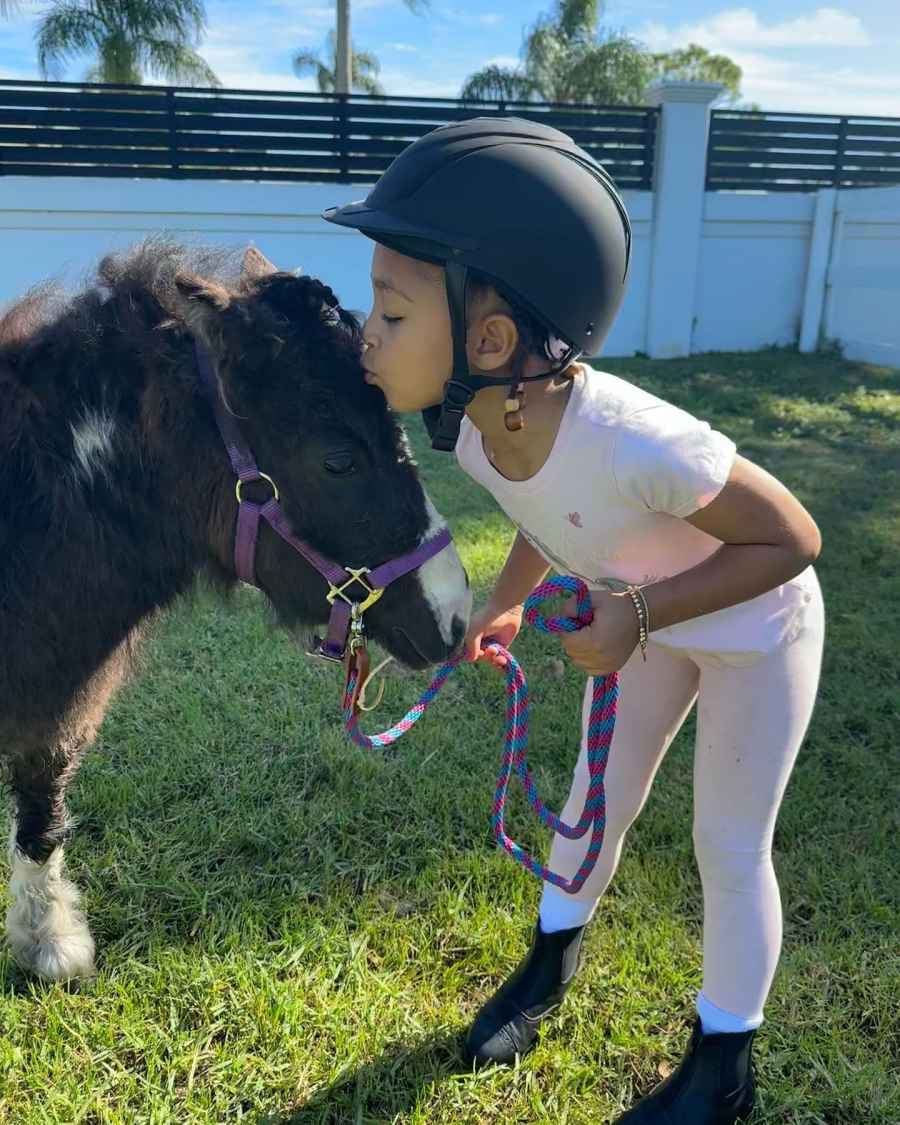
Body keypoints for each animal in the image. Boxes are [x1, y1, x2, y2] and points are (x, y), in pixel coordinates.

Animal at [0, 238, 471, 982]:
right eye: (338, 458)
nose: (455, 614)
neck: (25, 508)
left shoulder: (59, 702)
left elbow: (42, 808)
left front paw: (47, 938)